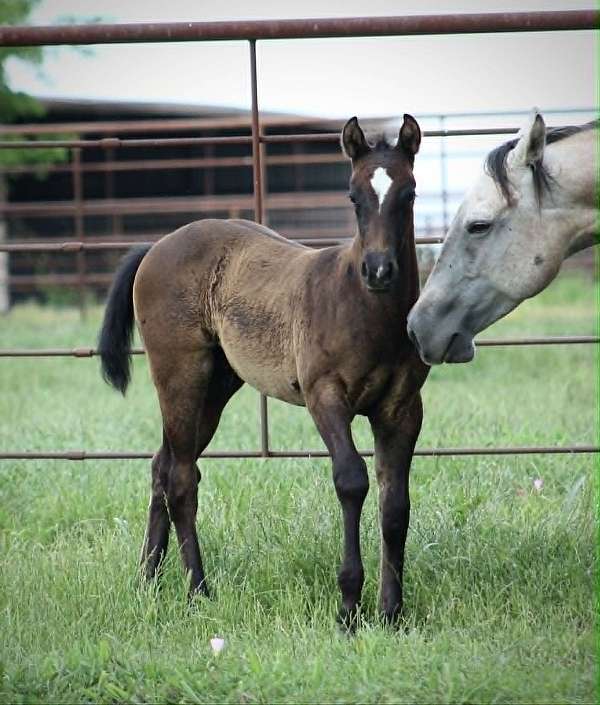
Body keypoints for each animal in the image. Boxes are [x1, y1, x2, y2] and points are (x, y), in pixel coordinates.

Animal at [98, 114, 429, 627]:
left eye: (409, 193)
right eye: (353, 196)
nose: (379, 270)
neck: (363, 309)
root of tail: (156, 246)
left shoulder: (402, 409)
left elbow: (395, 504)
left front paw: (391, 612)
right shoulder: (324, 397)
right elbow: (351, 481)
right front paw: (348, 608)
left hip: (216, 385)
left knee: (164, 465)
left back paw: (147, 582)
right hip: (180, 374)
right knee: (180, 478)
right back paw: (198, 591)